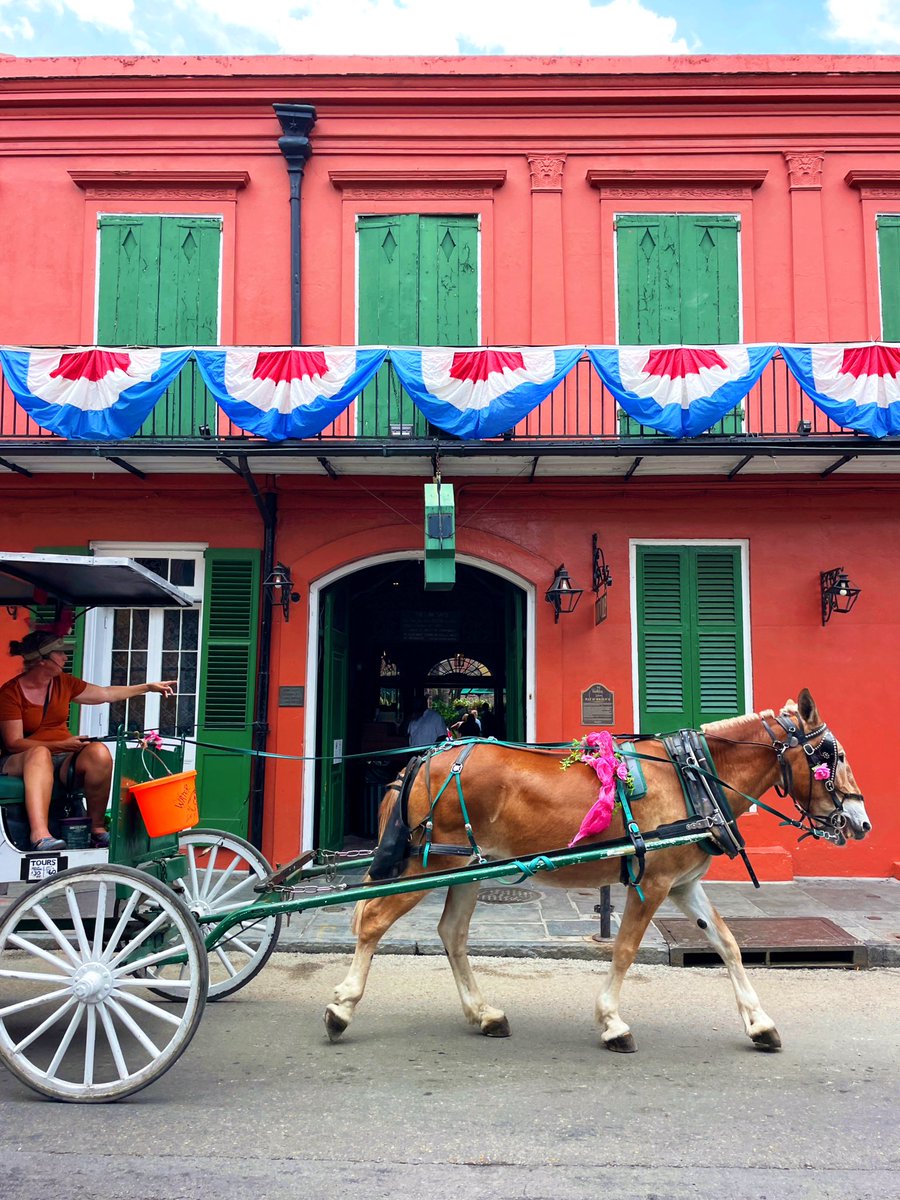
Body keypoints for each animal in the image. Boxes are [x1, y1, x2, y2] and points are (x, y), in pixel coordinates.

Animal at [326, 691, 873, 1056]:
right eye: (832, 756)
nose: (861, 822)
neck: (693, 776)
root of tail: (421, 762)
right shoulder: (651, 883)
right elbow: (626, 949)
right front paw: (612, 1023)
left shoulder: (683, 885)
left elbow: (728, 944)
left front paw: (759, 1023)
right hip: (432, 863)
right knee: (372, 922)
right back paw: (341, 1008)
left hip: (467, 869)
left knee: (452, 934)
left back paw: (484, 1014)